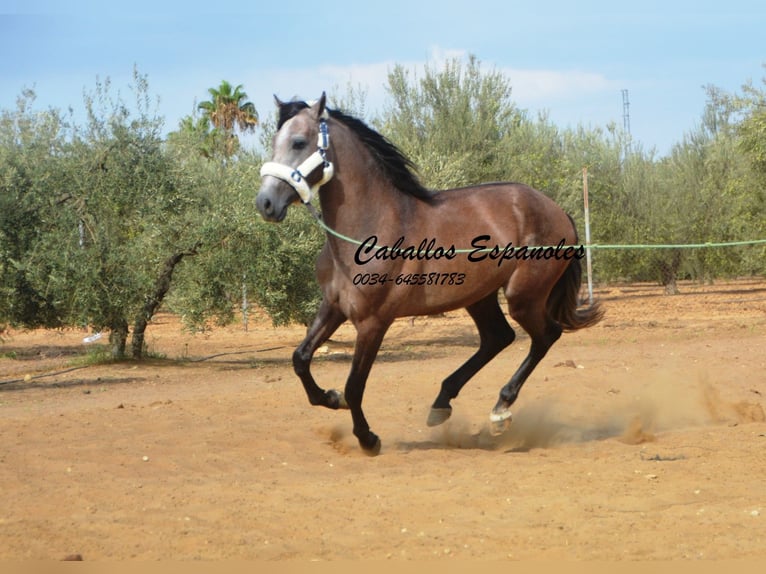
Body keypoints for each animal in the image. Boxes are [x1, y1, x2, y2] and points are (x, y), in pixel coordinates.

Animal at [255, 93, 604, 454]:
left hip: (523, 296)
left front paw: (368, 438)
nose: (265, 203)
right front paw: (330, 397)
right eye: (273, 142)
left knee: (545, 336)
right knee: (498, 337)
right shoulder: (334, 306)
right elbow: (300, 358)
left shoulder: (374, 322)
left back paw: (500, 410)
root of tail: (558, 211)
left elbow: (354, 385)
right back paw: (442, 404)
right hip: (479, 296)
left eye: (298, 142)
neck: (371, 226)